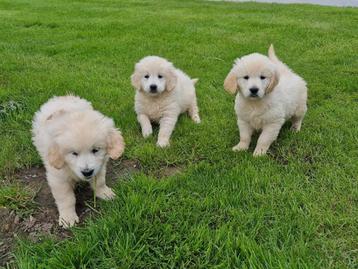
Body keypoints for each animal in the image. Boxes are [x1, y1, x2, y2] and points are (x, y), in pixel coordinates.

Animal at [31, 94, 126, 226]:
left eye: (95, 150)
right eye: (74, 153)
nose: (87, 172)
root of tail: (63, 97)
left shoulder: (100, 166)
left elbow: (100, 181)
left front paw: (104, 193)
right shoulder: (58, 178)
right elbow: (66, 198)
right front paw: (67, 217)